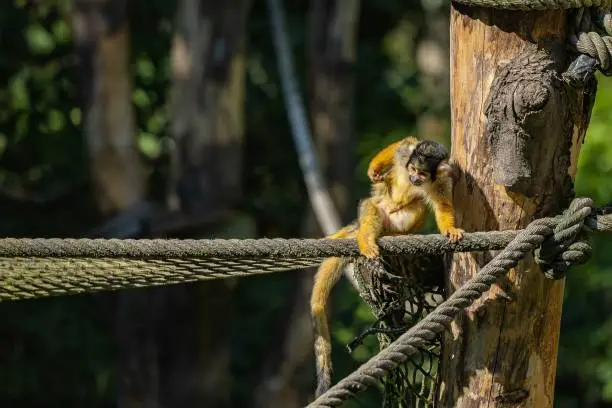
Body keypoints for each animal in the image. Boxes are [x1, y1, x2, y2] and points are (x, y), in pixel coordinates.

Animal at [310, 136, 464, 396]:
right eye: (412, 170)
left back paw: (400, 235)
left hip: (396, 221)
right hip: (380, 212)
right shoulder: (407, 155)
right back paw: (366, 239)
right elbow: (403, 145)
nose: (413, 178)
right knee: (371, 206)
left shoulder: (442, 176)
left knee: (419, 205)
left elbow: (442, 203)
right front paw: (373, 170)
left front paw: (450, 228)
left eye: (422, 174)